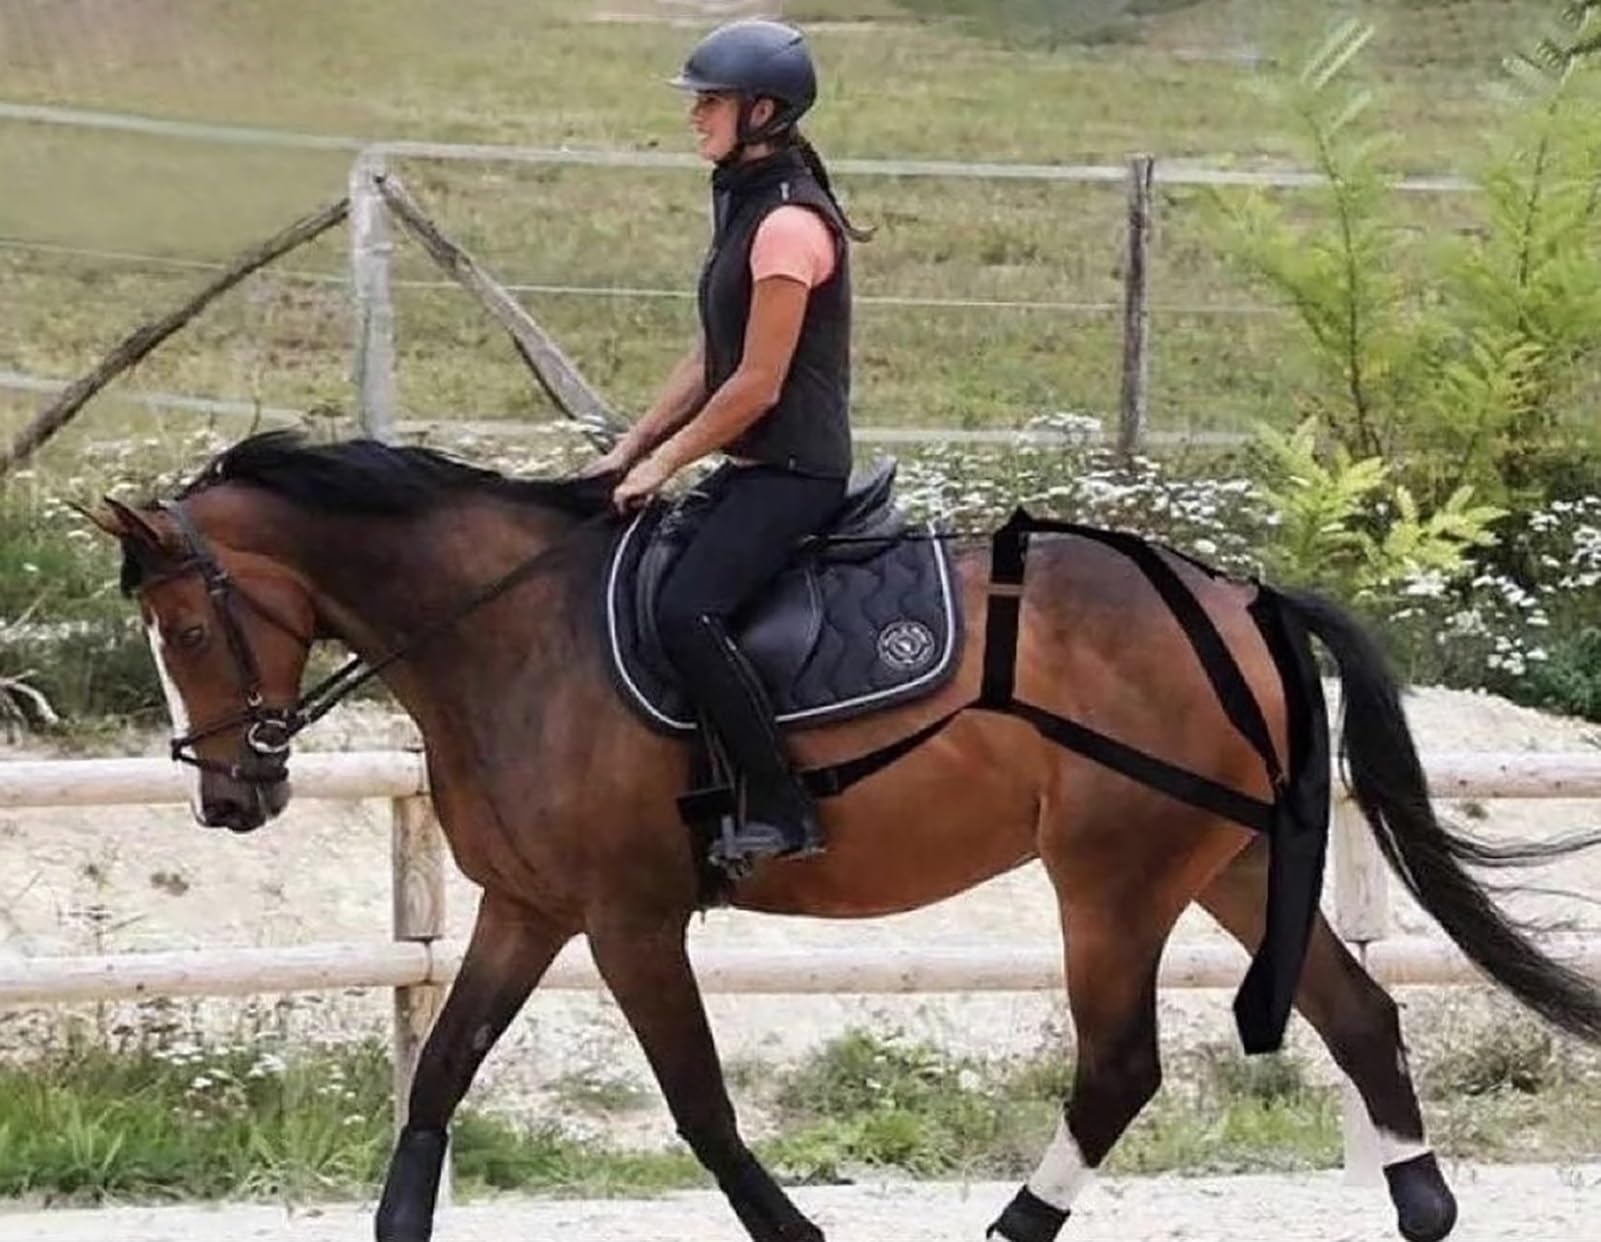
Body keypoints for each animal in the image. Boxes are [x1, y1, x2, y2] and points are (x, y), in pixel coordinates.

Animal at [88, 430, 1601, 1242]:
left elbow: (697, 1101)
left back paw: (1012, 1226)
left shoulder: (627, 918)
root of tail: (1237, 593)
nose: (230, 797)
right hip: (1217, 860)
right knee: (1358, 1014)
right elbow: (442, 1075)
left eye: (186, 627)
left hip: (1110, 877)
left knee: (1120, 1065)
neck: (508, 630)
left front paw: (795, 1226)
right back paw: (1422, 1209)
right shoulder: (528, 908)